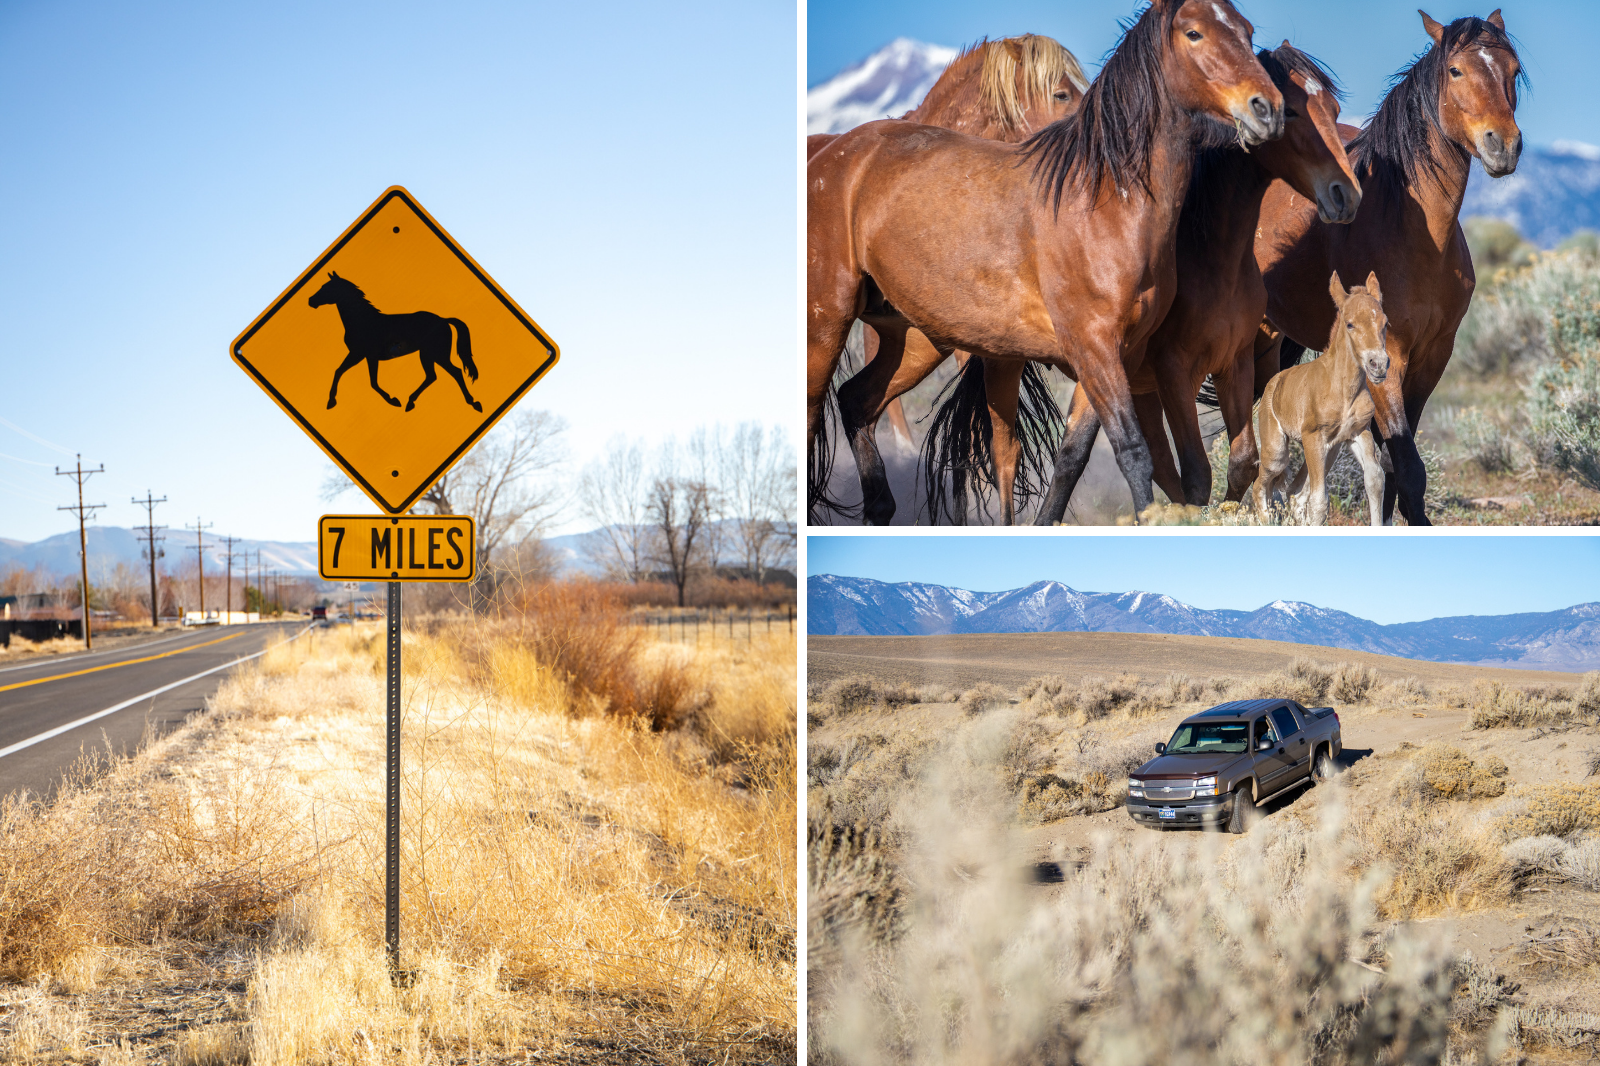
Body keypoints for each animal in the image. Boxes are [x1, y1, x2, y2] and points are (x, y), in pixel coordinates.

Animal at [309, 272, 482, 413]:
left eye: (327, 287)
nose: (311, 300)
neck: (363, 321)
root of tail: (443, 320)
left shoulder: (362, 355)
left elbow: (369, 381)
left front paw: (393, 400)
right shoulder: (362, 355)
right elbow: (344, 372)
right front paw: (331, 401)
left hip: (436, 354)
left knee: (454, 372)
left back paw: (473, 403)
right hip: (429, 355)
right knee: (432, 376)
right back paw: (410, 402)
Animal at [1254, 271, 1391, 526]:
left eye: (1385, 323)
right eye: (1350, 324)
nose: (1377, 365)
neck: (1343, 390)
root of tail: (1274, 382)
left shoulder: (1359, 432)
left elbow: (1375, 481)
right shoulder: (1314, 437)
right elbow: (1319, 501)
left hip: (1329, 452)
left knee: (1295, 493)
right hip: (1278, 452)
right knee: (1261, 486)